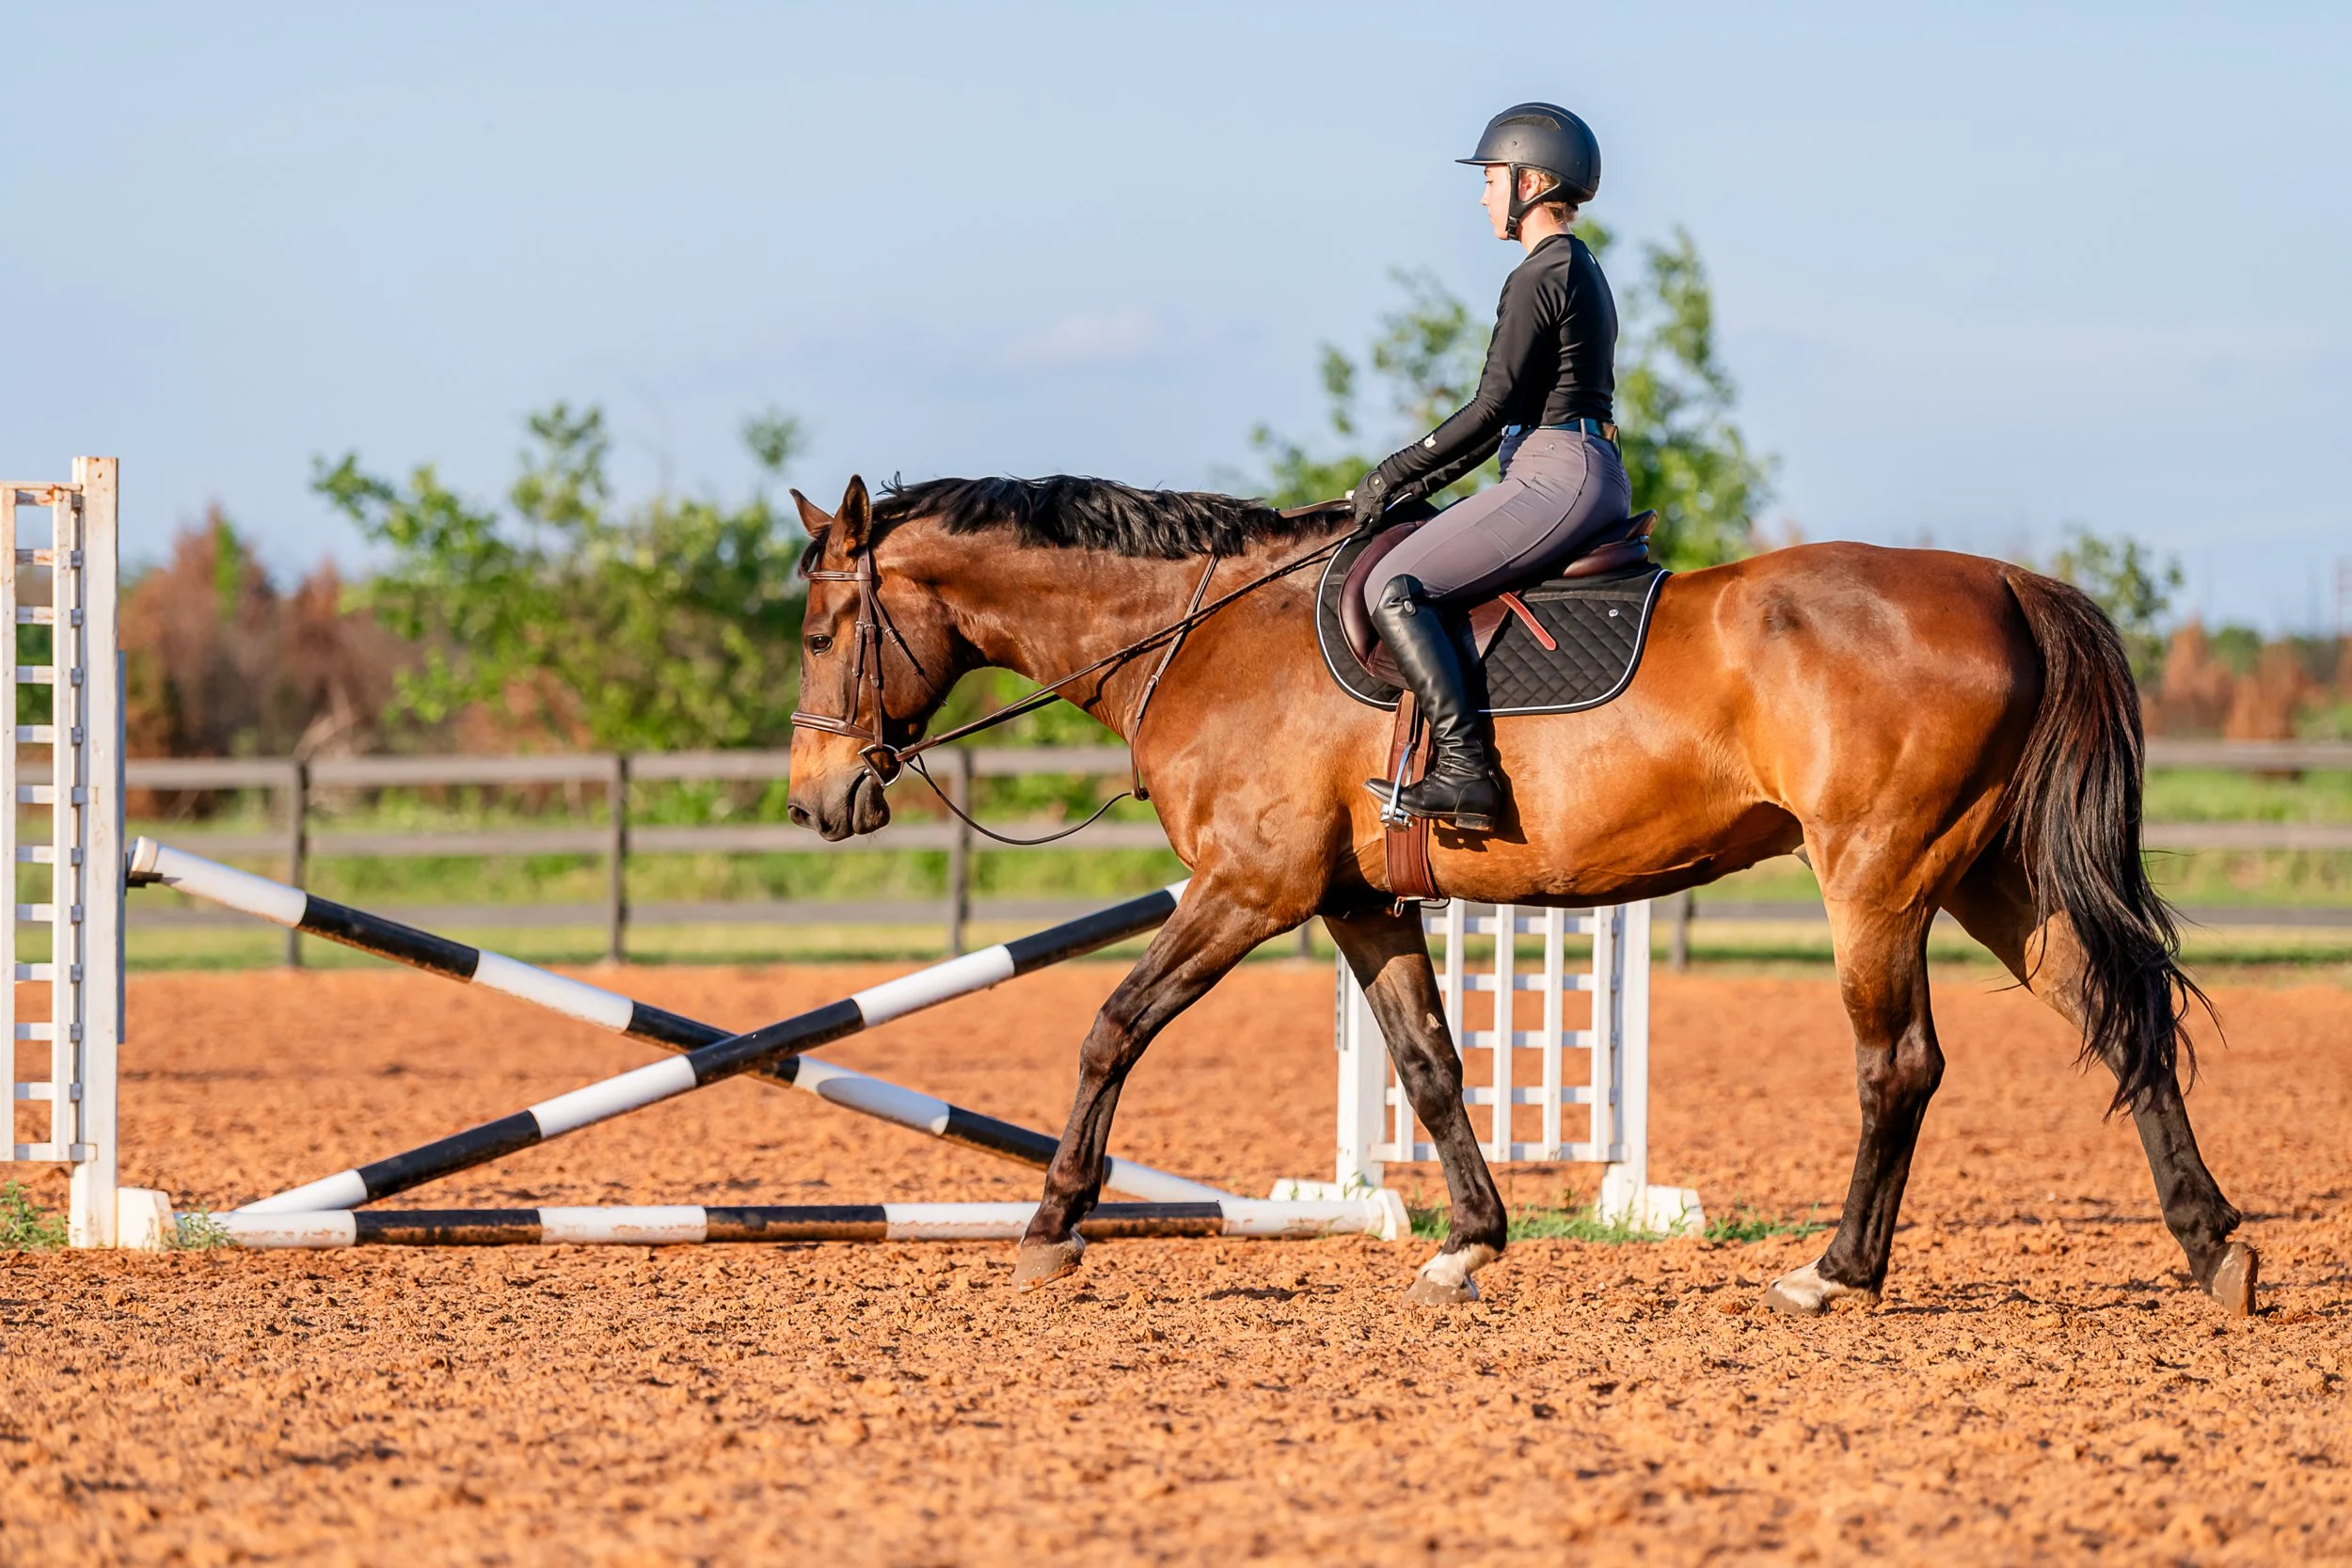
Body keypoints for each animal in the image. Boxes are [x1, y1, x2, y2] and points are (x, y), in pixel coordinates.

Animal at [783, 473, 2256, 1316]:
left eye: (818, 629)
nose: (815, 803)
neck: (1207, 636)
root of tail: (2005, 580)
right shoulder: (1358, 902)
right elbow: (1432, 1065)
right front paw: (1469, 1244)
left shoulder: (1248, 887)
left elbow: (1110, 1027)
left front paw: (1052, 1228)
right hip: (2000, 882)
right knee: (2116, 1022)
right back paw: (2214, 1250)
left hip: (1878, 880)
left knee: (1898, 1064)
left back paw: (1834, 1273)